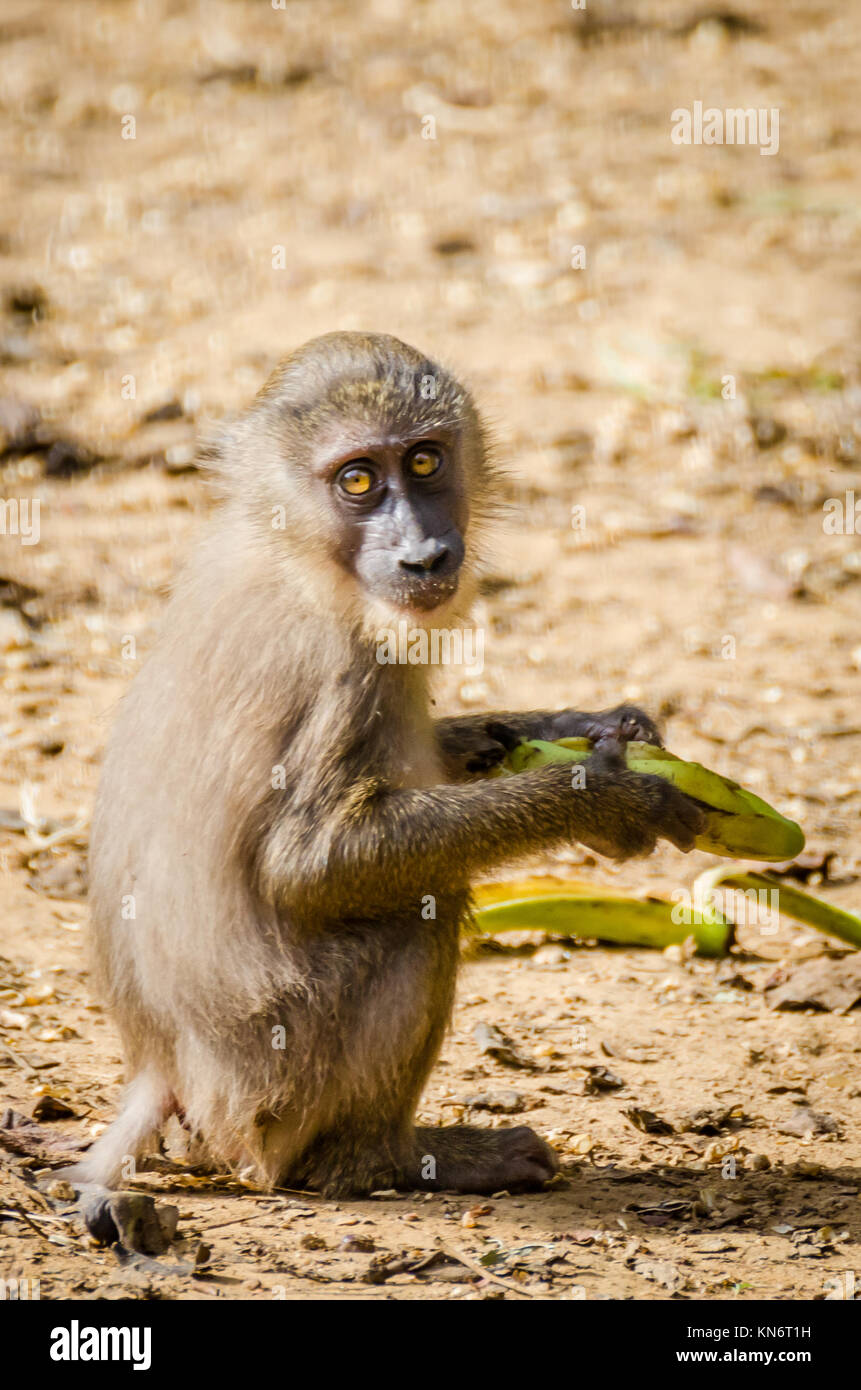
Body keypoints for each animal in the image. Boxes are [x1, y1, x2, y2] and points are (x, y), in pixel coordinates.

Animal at [70, 330, 703, 1200]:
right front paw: (605, 800)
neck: (292, 546)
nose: (423, 555)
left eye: (426, 461)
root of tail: (159, 1070)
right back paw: (377, 1162)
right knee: (420, 905)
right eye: (359, 480)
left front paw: (585, 729)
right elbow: (308, 865)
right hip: (271, 1090)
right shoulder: (342, 666)